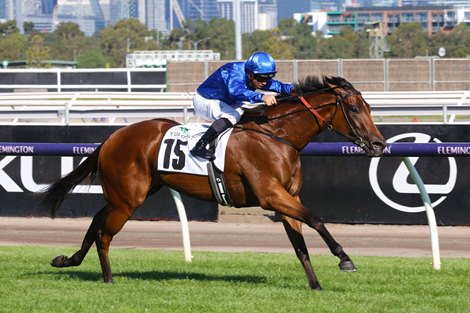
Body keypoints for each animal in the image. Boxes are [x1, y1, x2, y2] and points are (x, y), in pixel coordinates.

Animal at [41, 74, 386, 288]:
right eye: (353, 107)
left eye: (369, 107)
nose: (379, 144)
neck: (276, 136)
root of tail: (112, 137)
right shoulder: (271, 195)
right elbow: (316, 218)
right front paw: (344, 258)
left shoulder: (287, 197)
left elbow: (299, 243)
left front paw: (315, 285)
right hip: (128, 199)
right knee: (104, 234)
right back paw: (108, 278)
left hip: (129, 194)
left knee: (96, 222)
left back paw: (67, 260)